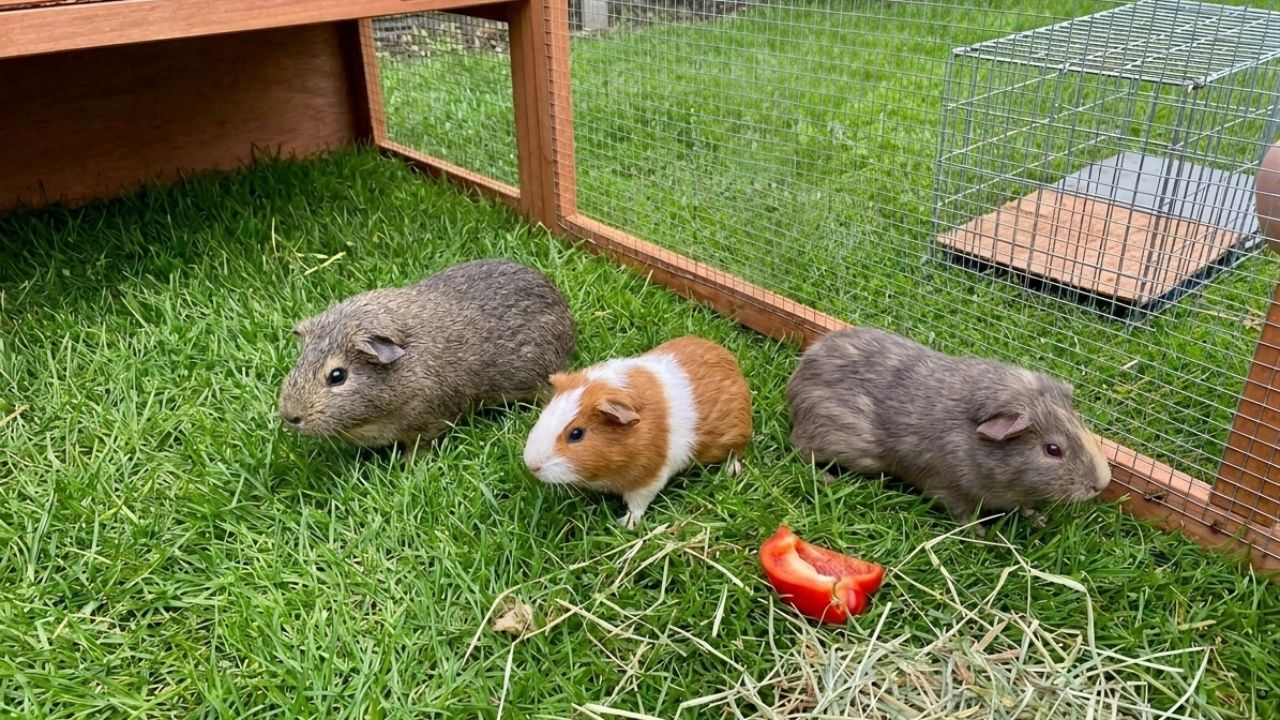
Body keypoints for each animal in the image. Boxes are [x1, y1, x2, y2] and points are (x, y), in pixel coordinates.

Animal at [523, 336, 752, 528]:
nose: (532, 466)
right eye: (545, 413)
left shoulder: (651, 477)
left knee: (737, 454)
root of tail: (730, 361)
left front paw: (626, 524)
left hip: (736, 437)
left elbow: (638, 504)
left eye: (576, 434)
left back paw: (731, 472)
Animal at [786, 327, 1110, 531]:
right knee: (800, 450)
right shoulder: (946, 487)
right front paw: (981, 535)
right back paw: (828, 479)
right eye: (1053, 449)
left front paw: (1038, 518)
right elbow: (963, 513)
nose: (1101, 484)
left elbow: (1023, 507)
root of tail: (797, 382)